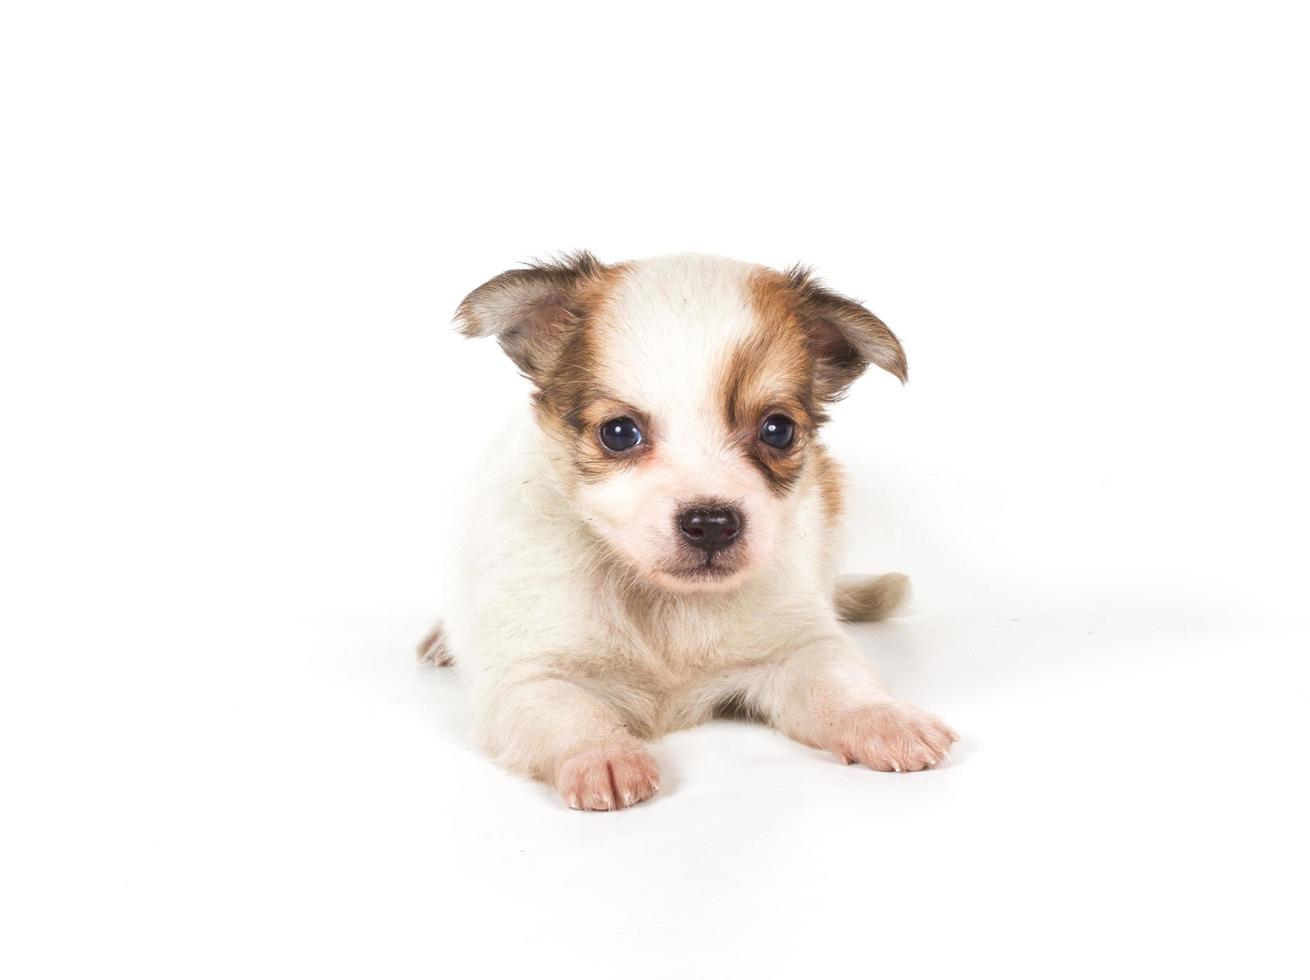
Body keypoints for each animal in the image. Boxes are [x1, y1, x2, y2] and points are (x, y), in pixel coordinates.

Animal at [421, 252, 964, 812]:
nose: (711, 524)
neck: (666, 602)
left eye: (778, 430)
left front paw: (884, 718)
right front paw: (603, 754)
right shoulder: (528, 679)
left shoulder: (799, 647)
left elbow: (839, 684)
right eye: (618, 433)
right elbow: (572, 713)